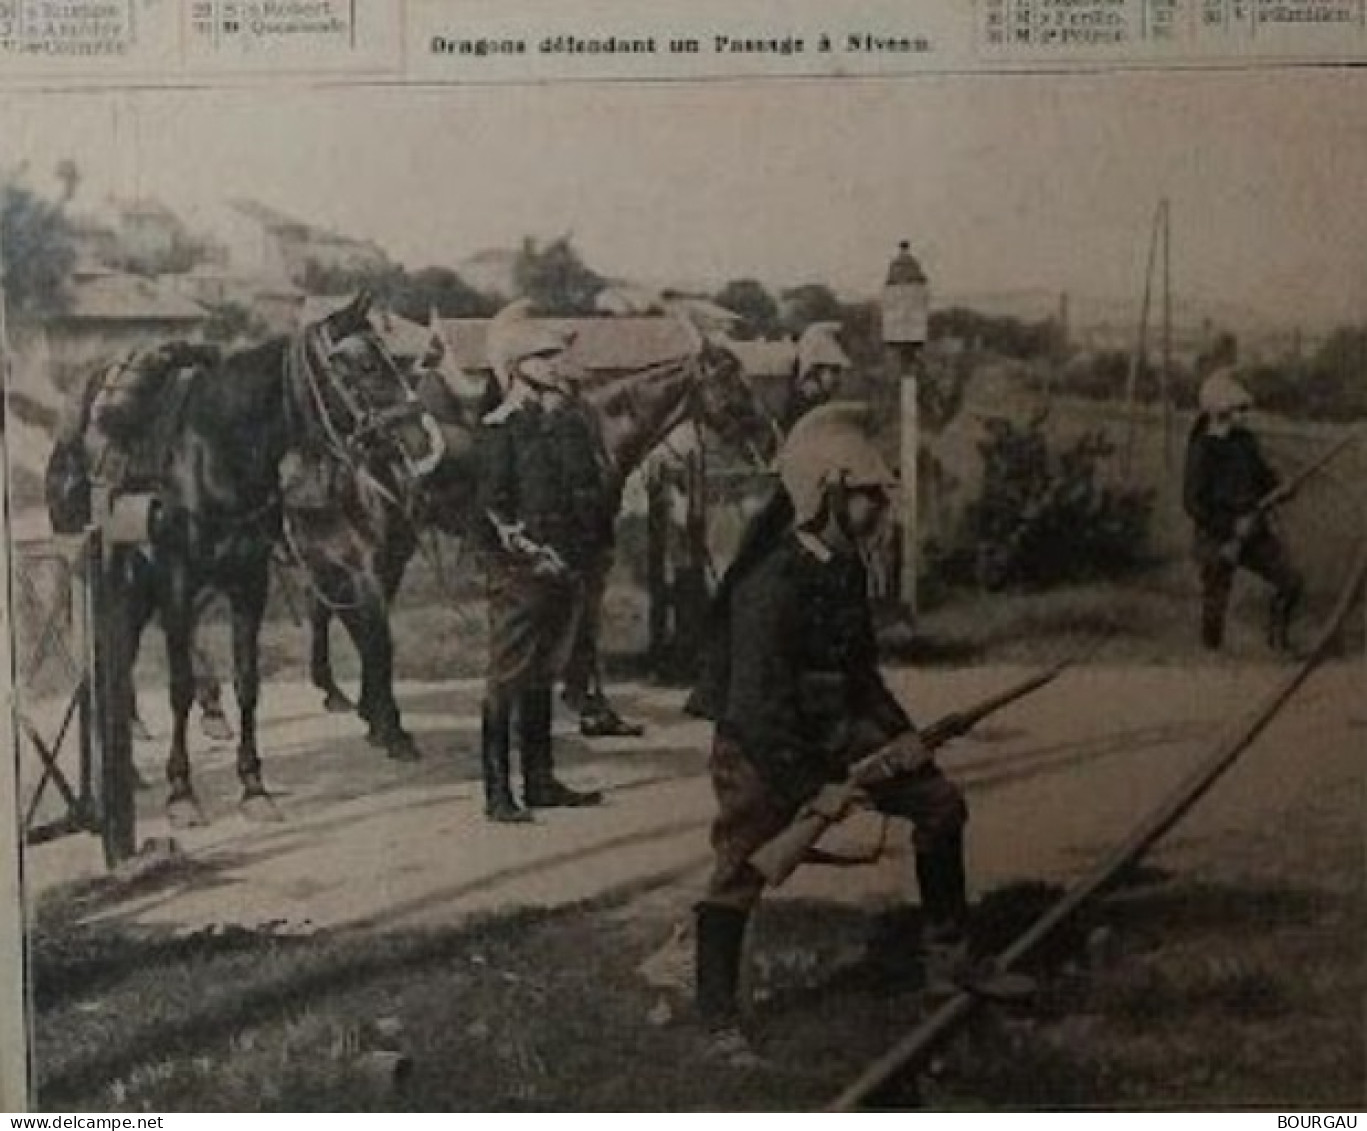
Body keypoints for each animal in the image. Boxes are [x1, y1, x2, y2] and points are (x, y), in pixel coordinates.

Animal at [45, 291, 440, 820]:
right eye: (363, 364)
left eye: (393, 359)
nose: (420, 437)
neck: (212, 455)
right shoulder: (179, 579)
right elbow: (178, 687)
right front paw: (182, 791)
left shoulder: (252, 582)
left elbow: (250, 682)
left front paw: (254, 784)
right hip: (111, 579)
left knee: (125, 656)